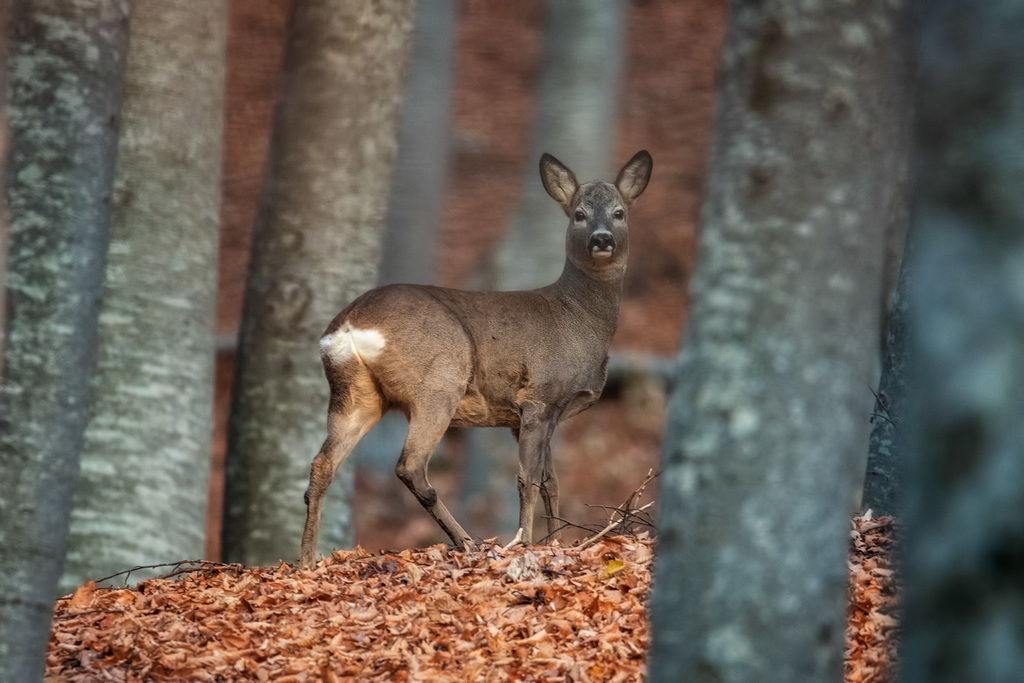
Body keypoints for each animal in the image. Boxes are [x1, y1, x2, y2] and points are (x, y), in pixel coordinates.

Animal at [296, 150, 651, 573]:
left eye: (619, 213)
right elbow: (528, 479)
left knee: (322, 464)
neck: (577, 318)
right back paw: (467, 542)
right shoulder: (539, 398)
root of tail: (350, 323)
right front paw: (525, 542)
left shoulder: (532, 415)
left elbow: (551, 481)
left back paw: (306, 560)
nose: (602, 239)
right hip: (438, 382)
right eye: (579, 214)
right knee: (410, 465)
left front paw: (555, 542)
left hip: (357, 394)